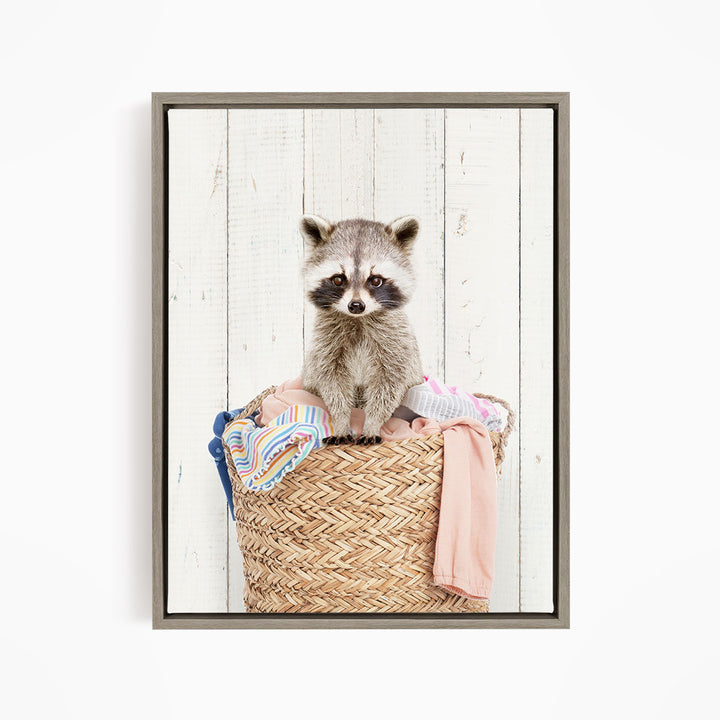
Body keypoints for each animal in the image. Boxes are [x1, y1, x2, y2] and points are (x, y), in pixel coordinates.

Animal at [300, 214, 423, 441]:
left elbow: (389, 384)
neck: (358, 319)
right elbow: (332, 383)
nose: (356, 305)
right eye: (338, 279)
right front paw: (341, 421)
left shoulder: (396, 342)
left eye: (375, 280)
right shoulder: (325, 344)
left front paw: (372, 422)